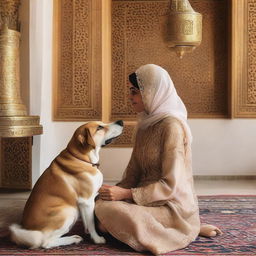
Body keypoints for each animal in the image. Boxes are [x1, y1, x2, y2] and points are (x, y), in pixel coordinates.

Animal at [10, 121, 124, 249]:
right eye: (99, 127)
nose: (120, 121)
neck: (81, 158)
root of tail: (29, 230)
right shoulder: (87, 201)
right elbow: (91, 223)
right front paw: (96, 239)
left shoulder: (82, 203)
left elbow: (86, 221)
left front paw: (87, 232)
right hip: (69, 212)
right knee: (45, 242)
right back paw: (72, 239)